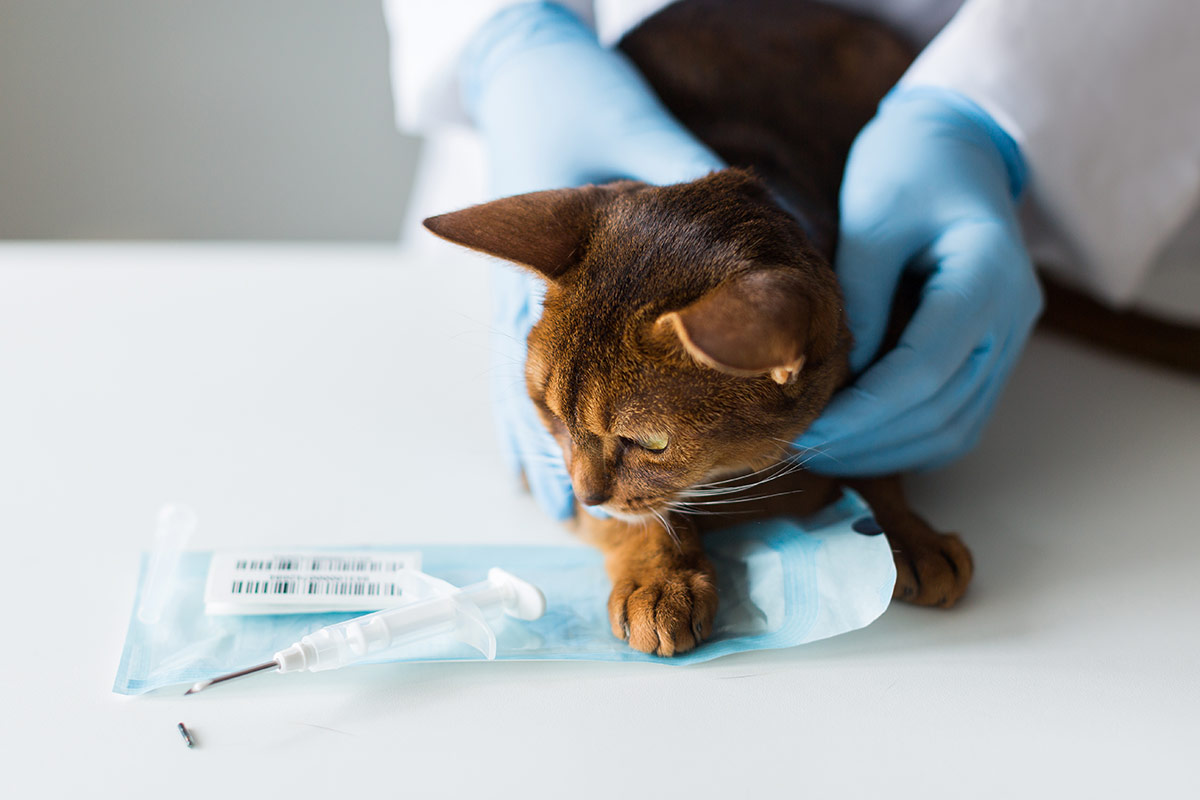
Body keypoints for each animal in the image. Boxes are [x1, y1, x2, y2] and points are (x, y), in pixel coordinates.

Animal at [420, 0, 1190, 657]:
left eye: (651, 442)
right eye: (546, 411)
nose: (585, 492)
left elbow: (881, 458)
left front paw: (907, 531)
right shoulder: (553, 470)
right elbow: (638, 521)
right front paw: (659, 577)